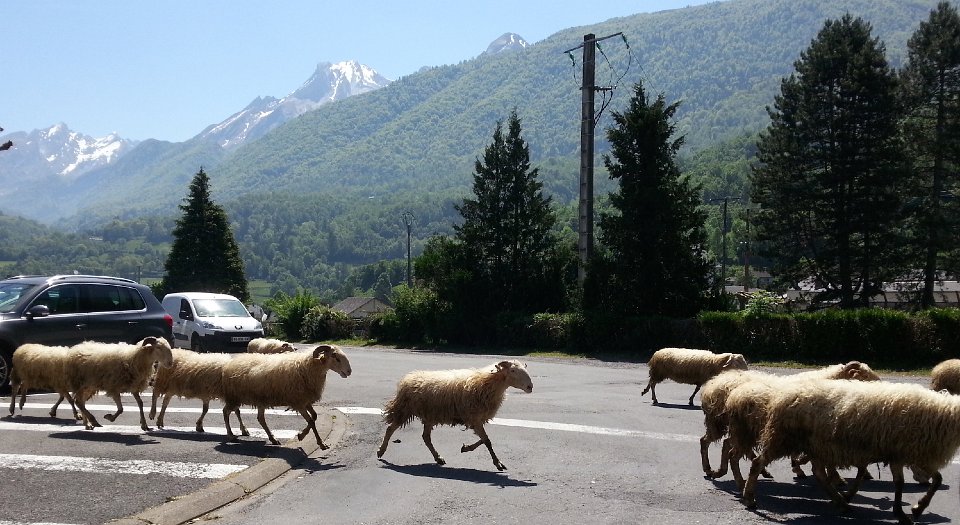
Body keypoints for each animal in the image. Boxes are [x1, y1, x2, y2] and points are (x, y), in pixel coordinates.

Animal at [220, 344, 352, 446]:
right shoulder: (298, 403)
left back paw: (272, 438)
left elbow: (314, 417)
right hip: (234, 397)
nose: (349, 371)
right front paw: (320, 443)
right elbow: (311, 421)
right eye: (334, 356)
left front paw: (301, 435)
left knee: (259, 418)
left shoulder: (305, 401)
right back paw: (231, 435)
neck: (307, 367)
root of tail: (231, 363)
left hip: (256, 399)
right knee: (225, 412)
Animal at [376, 360, 533, 471]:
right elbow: (487, 441)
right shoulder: (475, 418)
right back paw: (381, 451)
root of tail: (408, 378)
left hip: (429, 415)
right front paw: (498, 463)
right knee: (390, 428)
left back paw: (438, 458)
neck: (486, 383)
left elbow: (484, 440)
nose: (530, 387)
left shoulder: (474, 419)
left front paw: (466, 447)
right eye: (513, 370)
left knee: (426, 437)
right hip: (405, 410)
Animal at [741, 379, 960, 524]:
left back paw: (841, 502)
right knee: (758, 463)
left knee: (819, 473)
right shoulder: (902, 453)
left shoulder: (906, 453)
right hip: (784, 438)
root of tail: (782, 395)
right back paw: (749, 498)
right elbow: (907, 483)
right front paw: (909, 511)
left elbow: (926, 481)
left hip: (815, 446)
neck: (942, 415)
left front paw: (910, 509)